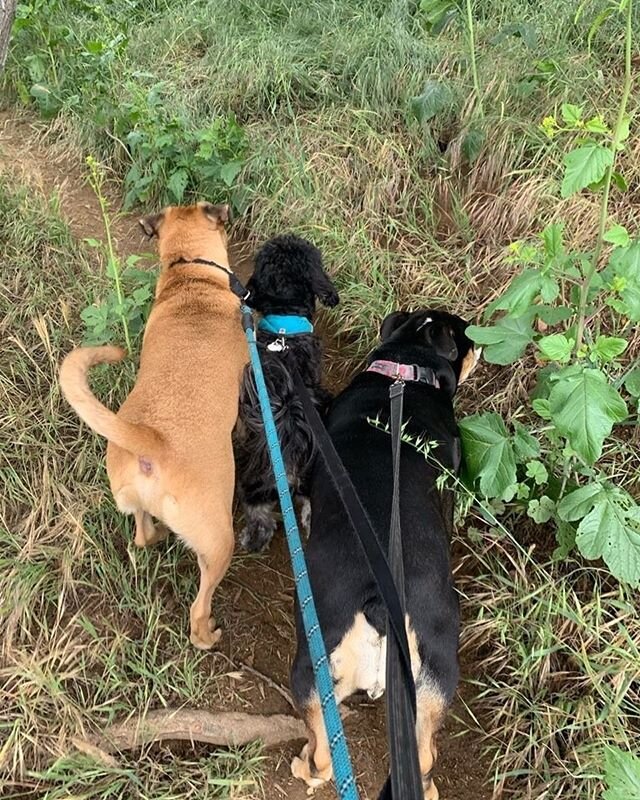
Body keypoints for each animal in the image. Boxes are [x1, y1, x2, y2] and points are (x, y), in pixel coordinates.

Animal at [58, 202, 248, 648]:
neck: (190, 274)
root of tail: (152, 441)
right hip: (219, 543)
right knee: (198, 608)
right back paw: (207, 636)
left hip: (134, 503)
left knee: (142, 535)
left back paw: (157, 536)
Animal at [290, 308, 480, 800]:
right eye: (466, 335)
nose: (482, 342)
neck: (404, 370)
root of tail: (377, 604)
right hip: (436, 673)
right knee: (425, 757)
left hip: (314, 669)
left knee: (323, 751)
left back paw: (307, 768)